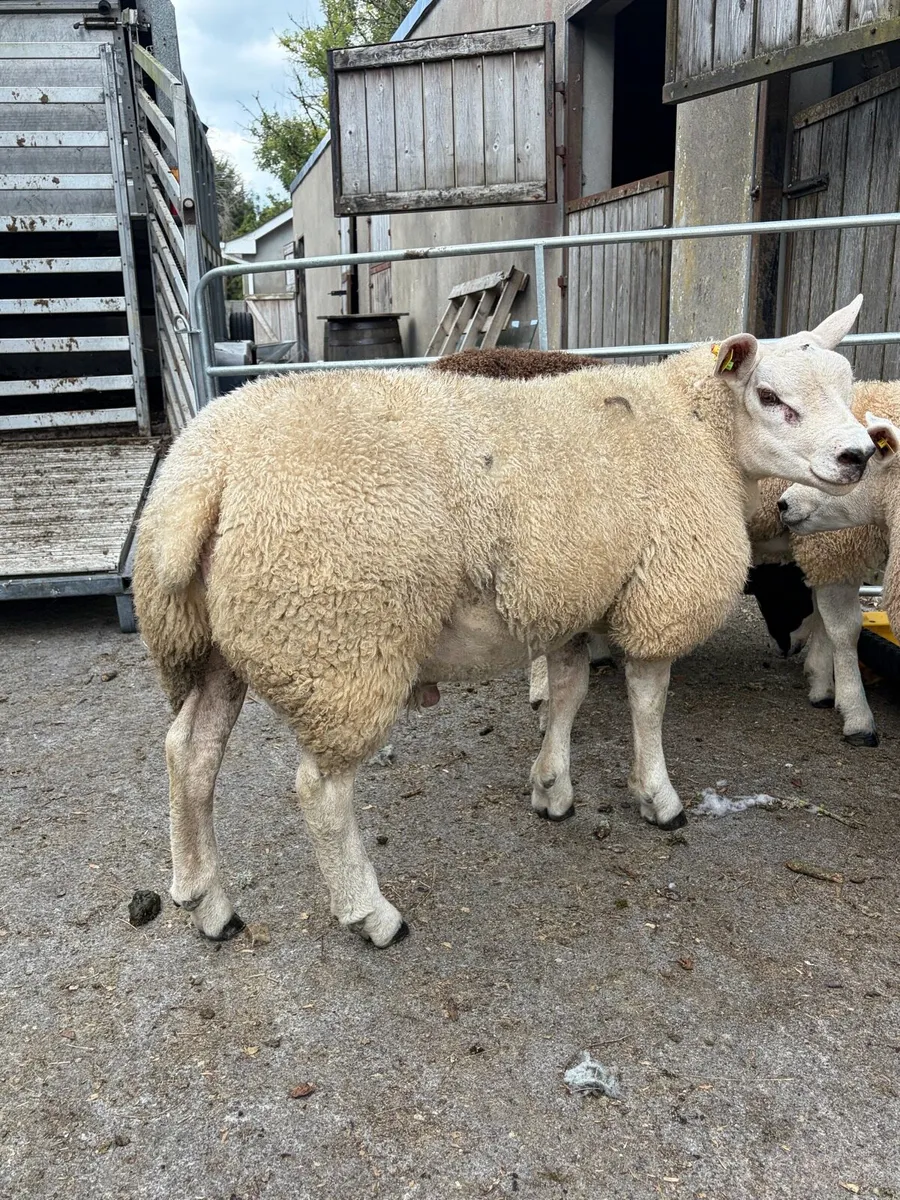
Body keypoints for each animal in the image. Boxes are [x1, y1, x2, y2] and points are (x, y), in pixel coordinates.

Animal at [133, 297, 873, 948]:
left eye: (847, 384)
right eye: (770, 396)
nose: (859, 455)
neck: (695, 429)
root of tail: (207, 472)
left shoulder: (574, 597)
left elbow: (570, 693)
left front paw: (551, 788)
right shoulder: (659, 594)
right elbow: (648, 702)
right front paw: (658, 797)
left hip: (209, 642)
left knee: (189, 754)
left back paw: (208, 904)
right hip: (340, 643)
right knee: (320, 789)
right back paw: (371, 914)